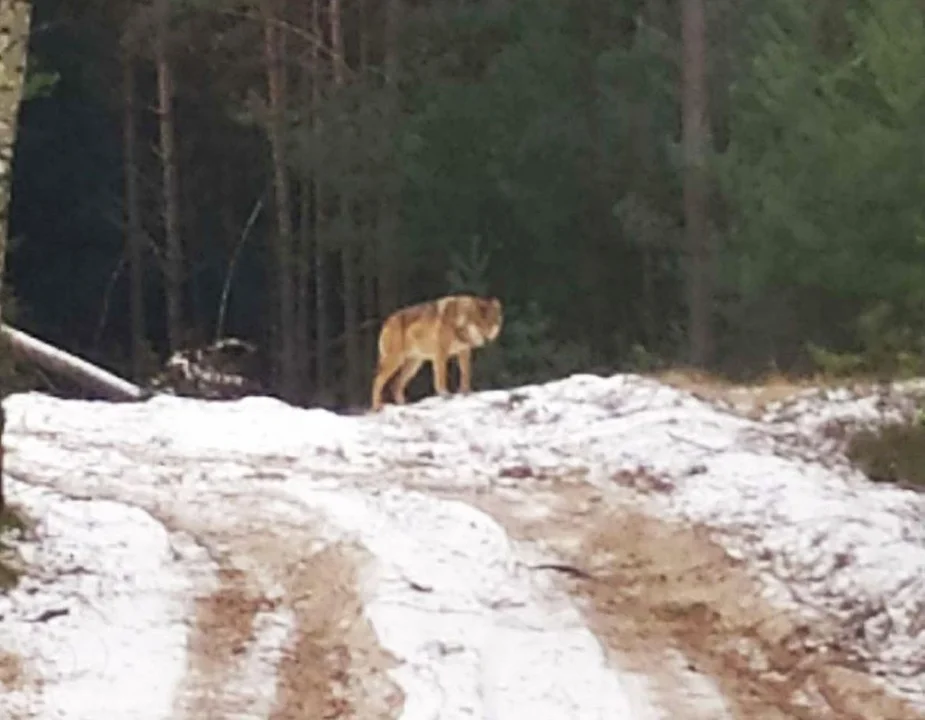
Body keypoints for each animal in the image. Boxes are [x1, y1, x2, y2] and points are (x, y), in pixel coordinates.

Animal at [368, 294, 502, 410]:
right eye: (478, 324)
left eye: (490, 324)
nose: (486, 340)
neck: (457, 323)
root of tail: (387, 321)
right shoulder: (441, 354)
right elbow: (441, 377)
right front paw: (446, 395)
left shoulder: (464, 352)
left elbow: (466, 374)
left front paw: (466, 393)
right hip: (395, 361)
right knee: (377, 381)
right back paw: (377, 407)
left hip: (414, 365)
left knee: (395, 385)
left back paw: (404, 406)